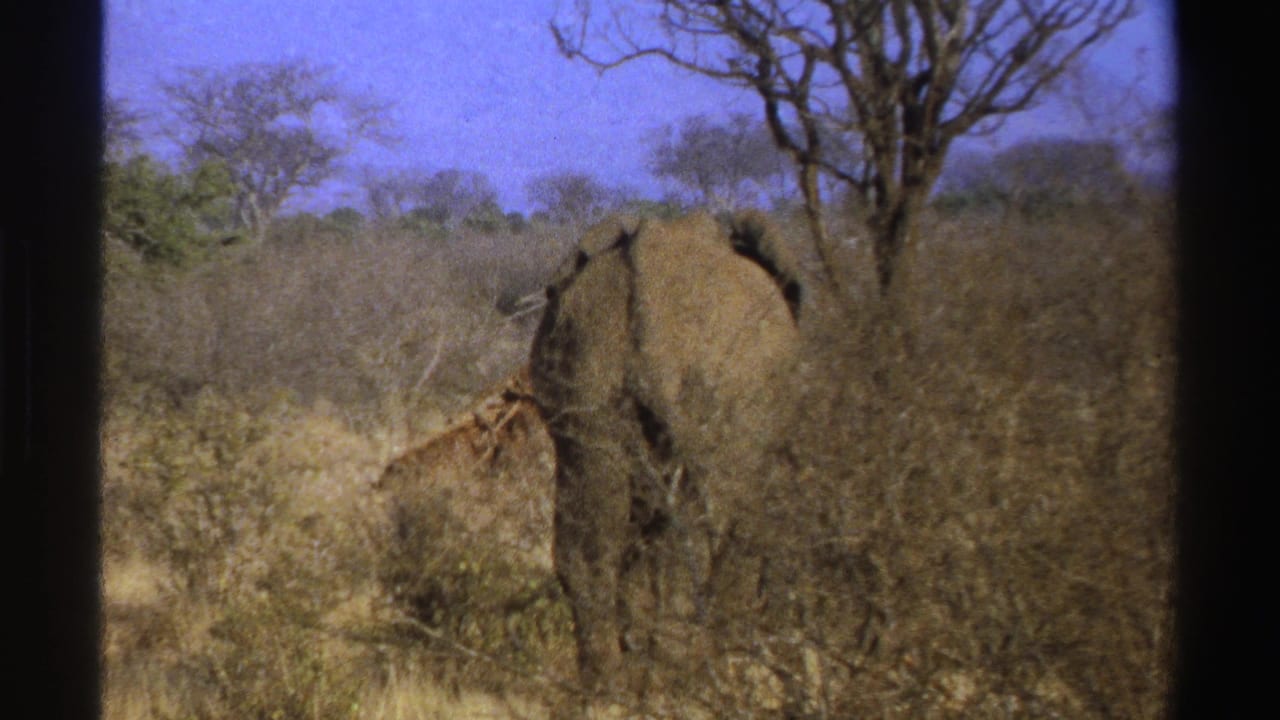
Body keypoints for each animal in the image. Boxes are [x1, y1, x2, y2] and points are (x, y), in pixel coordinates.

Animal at [529, 211, 804, 701]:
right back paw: (683, 681)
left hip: (582, 365)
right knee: (699, 532)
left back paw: (607, 687)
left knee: (591, 532)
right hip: (715, 385)